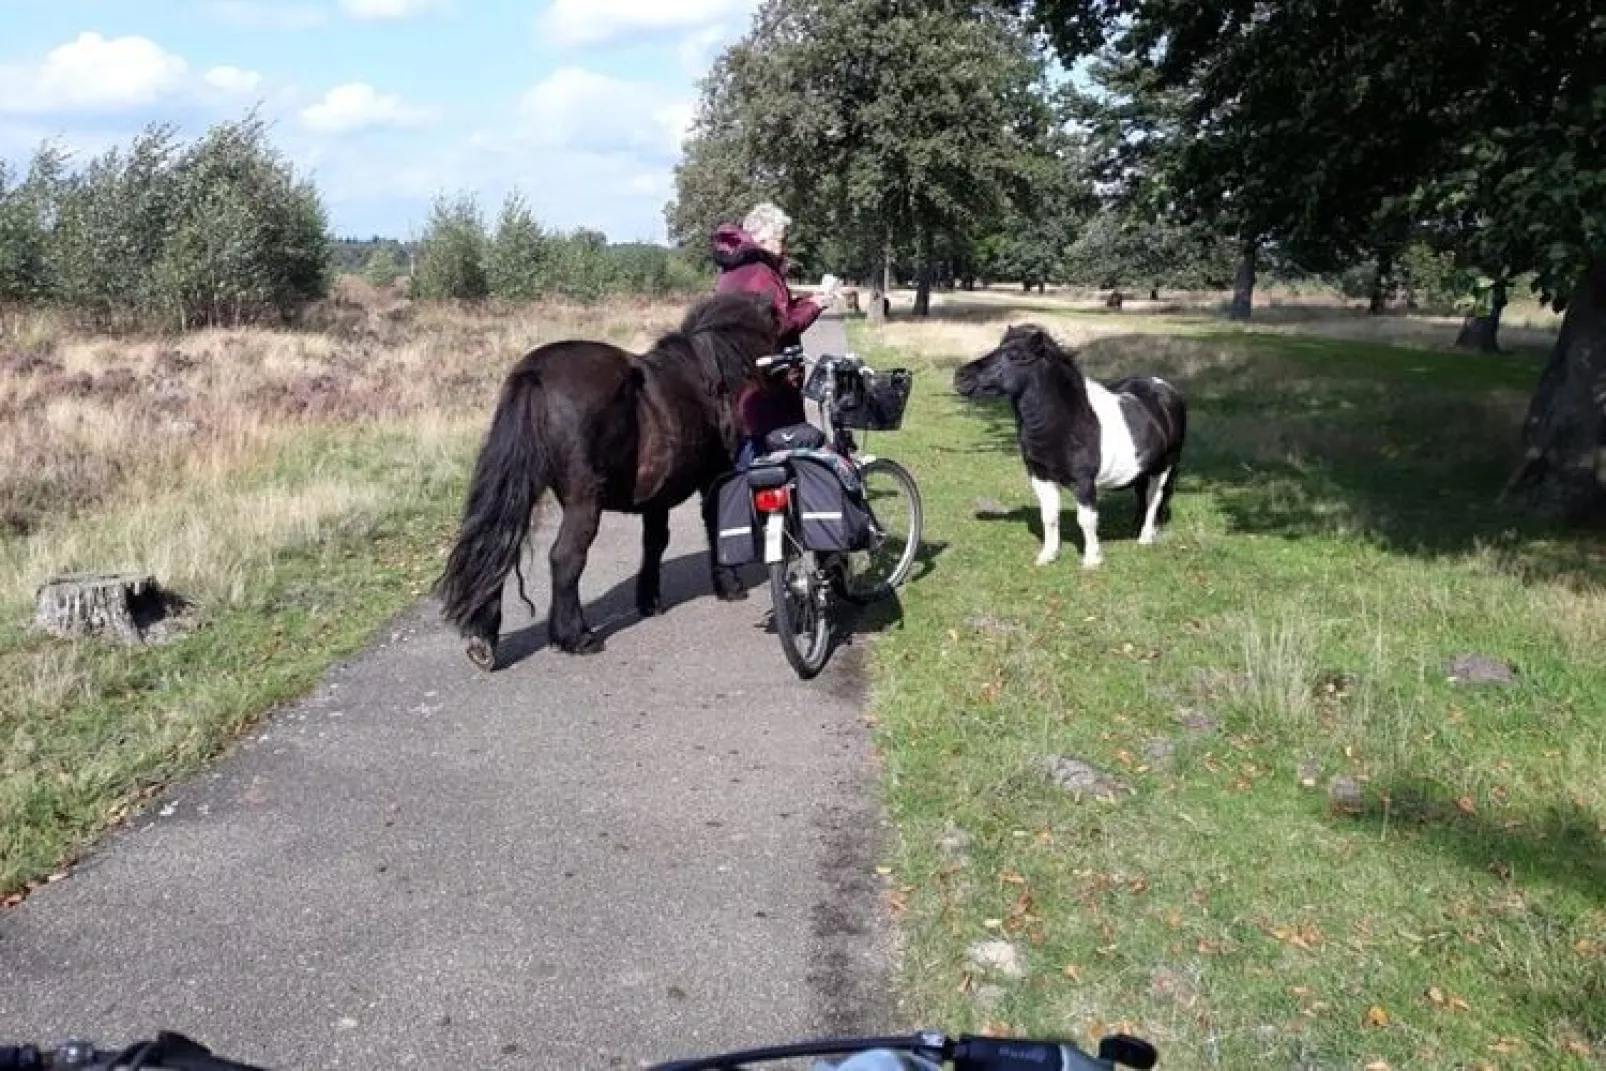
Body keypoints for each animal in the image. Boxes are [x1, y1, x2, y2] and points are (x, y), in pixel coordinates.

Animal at [436, 289, 780, 664]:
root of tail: (535, 372)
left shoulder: (657, 497)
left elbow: (654, 543)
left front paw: (649, 600)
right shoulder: (717, 478)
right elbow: (714, 528)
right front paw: (729, 586)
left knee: (497, 545)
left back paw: (484, 637)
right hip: (584, 499)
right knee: (564, 557)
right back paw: (576, 636)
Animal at [950, 324, 1182, 568]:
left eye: (1014, 355)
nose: (960, 376)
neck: (1068, 423)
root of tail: (1165, 389)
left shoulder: (1083, 482)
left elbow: (1087, 519)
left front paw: (1092, 559)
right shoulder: (1041, 477)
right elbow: (1049, 516)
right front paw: (1048, 555)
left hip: (1164, 466)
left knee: (1154, 498)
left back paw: (1146, 537)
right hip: (1143, 469)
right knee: (1142, 496)